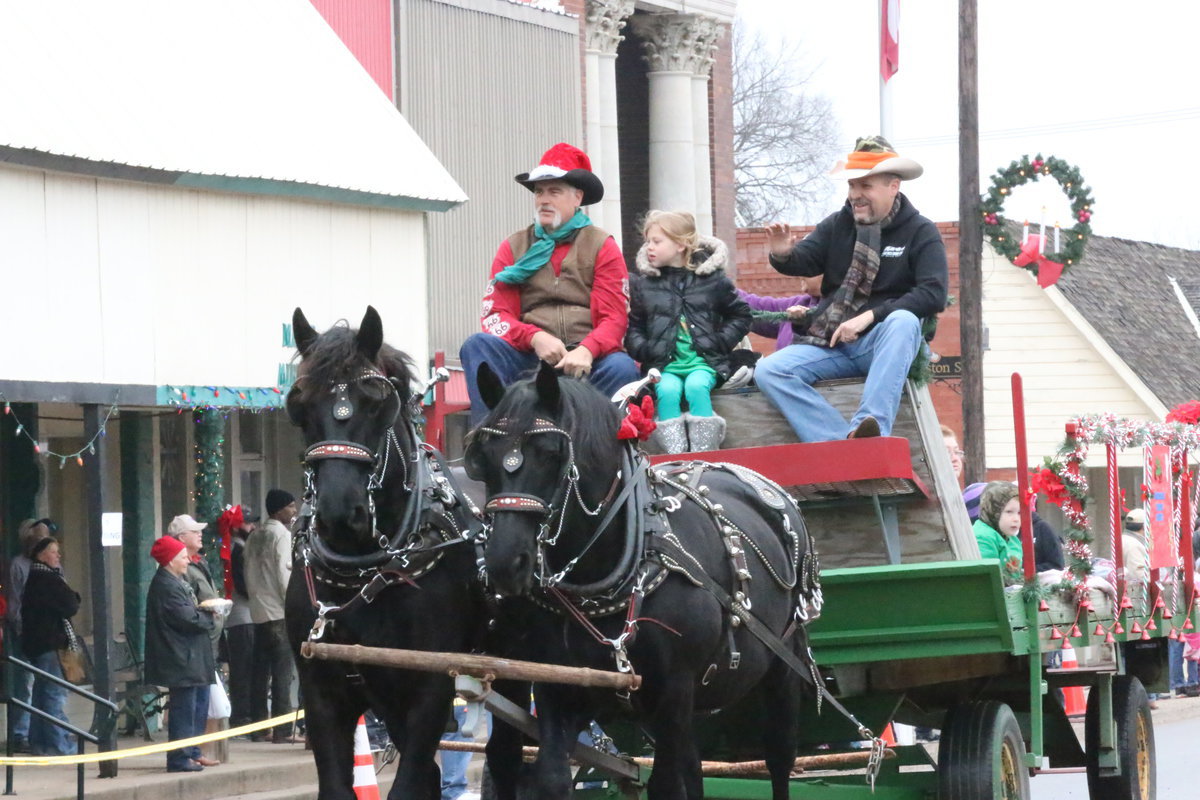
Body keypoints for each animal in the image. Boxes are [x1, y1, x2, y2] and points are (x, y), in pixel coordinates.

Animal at [283, 309, 484, 800]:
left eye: (376, 402)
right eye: (300, 405)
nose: (339, 511)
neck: (364, 573)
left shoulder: (431, 689)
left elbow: (408, 784)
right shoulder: (322, 692)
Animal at [463, 362, 820, 800]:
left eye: (550, 453)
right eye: (482, 459)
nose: (503, 562)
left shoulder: (674, 692)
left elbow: (665, 783)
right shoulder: (558, 687)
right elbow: (551, 777)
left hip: (783, 664)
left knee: (779, 756)